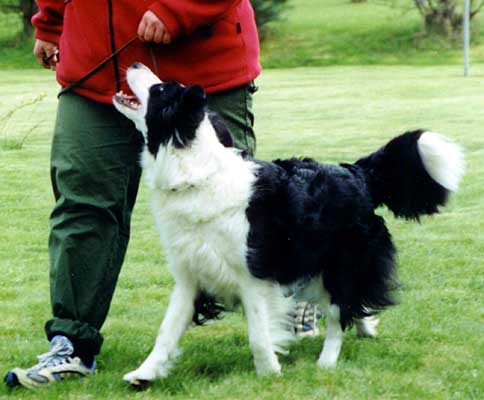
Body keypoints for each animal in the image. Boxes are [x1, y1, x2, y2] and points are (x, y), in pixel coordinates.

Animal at [113, 62, 464, 386]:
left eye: (160, 89)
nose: (134, 63)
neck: (196, 173)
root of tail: (356, 173)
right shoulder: (190, 273)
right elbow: (167, 330)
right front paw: (144, 374)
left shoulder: (254, 275)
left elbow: (258, 334)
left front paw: (269, 374)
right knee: (354, 301)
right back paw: (365, 328)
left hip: (340, 263)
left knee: (338, 313)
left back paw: (327, 362)